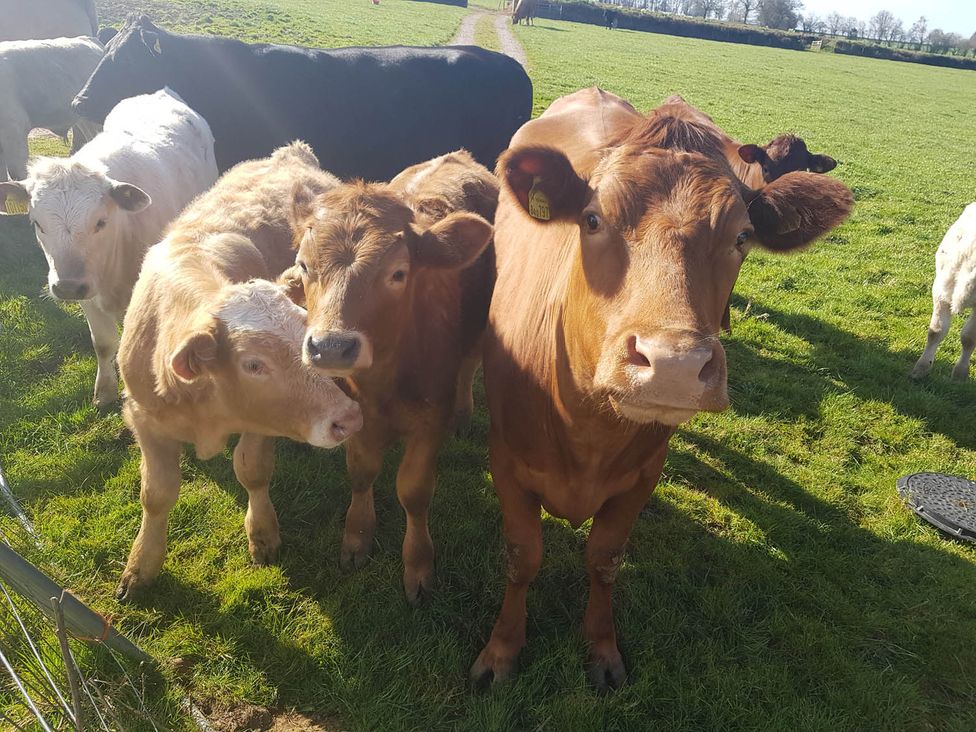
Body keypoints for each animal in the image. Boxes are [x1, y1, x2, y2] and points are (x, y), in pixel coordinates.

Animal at [0, 89, 218, 409]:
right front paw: (104, 392)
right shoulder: (88, 295)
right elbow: (103, 344)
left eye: (101, 222)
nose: (67, 287)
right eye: (37, 223)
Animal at [114, 142, 362, 601]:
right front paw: (141, 566)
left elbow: (251, 469)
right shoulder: (143, 418)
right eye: (254, 364)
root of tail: (291, 154)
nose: (349, 419)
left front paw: (262, 534)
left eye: (304, 335)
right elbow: (156, 494)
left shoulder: (262, 421)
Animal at [293, 151, 496, 604]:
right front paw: (356, 538)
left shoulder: (430, 422)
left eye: (399, 273)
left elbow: (413, 491)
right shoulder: (355, 417)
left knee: (469, 367)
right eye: (303, 265)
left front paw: (418, 564)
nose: (331, 346)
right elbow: (361, 472)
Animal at [469, 97, 853, 690]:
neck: (587, 430)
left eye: (742, 237)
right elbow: (522, 556)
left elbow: (605, 559)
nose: (674, 364)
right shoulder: (506, 458)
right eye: (592, 219)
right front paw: (502, 650)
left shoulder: (644, 475)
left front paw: (601, 649)